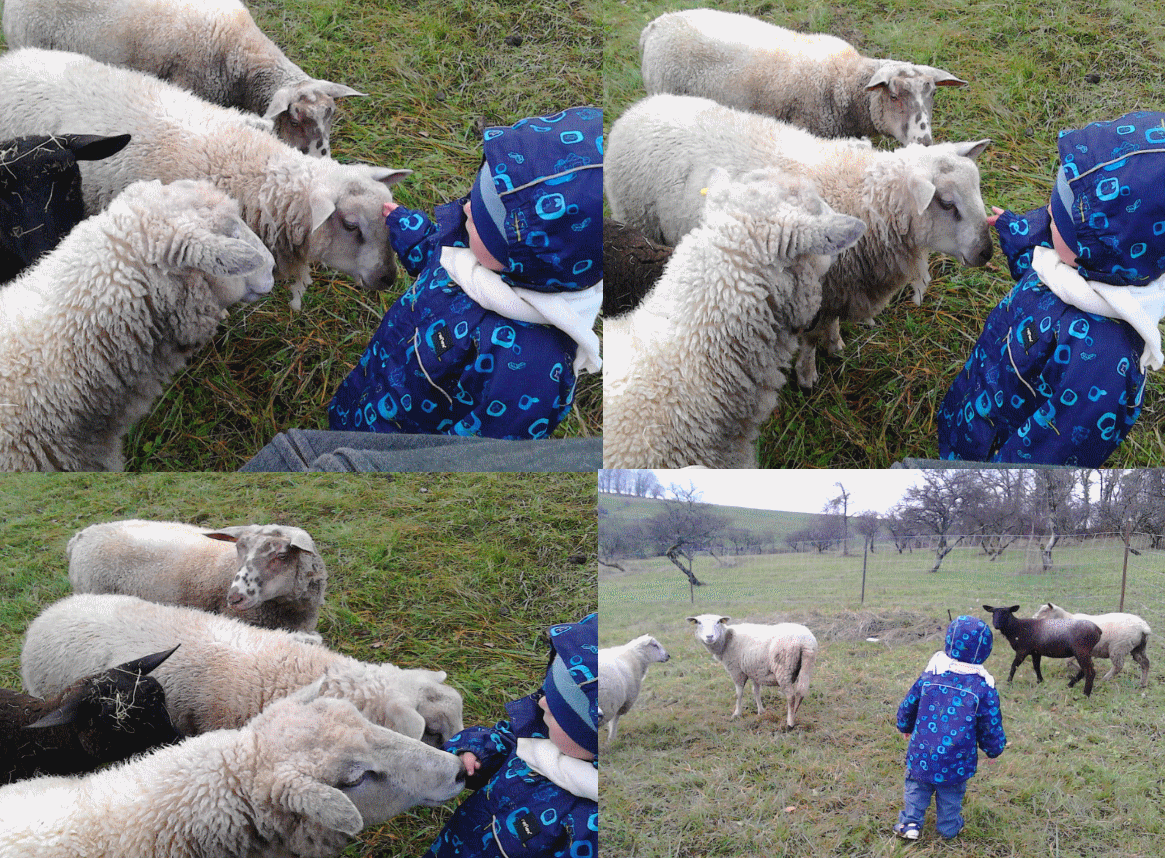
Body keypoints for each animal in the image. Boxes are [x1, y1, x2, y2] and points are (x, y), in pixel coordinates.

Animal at [604, 94, 992, 388]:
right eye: (946, 203)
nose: (987, 253)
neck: (864, 197)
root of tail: (637, 108)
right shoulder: (818, 287)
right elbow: (808, 340)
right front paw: (807, 375)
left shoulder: (842, 286)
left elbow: (832, 323)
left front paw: (835, 343)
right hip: (637, 218)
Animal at [686, 613, 818, 729]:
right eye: (698, 622)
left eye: (718, 622)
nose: (709, 637)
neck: (726, 641)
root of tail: (804, 641)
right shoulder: (755, 671)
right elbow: (756, 692)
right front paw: (761, 711)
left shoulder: (736, 671)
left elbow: (739, 694)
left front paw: (736, 714)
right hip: (808, 664)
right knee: (801, 692)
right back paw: (794, 714)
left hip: (783, 668)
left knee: (791, 696)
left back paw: (790, 723)